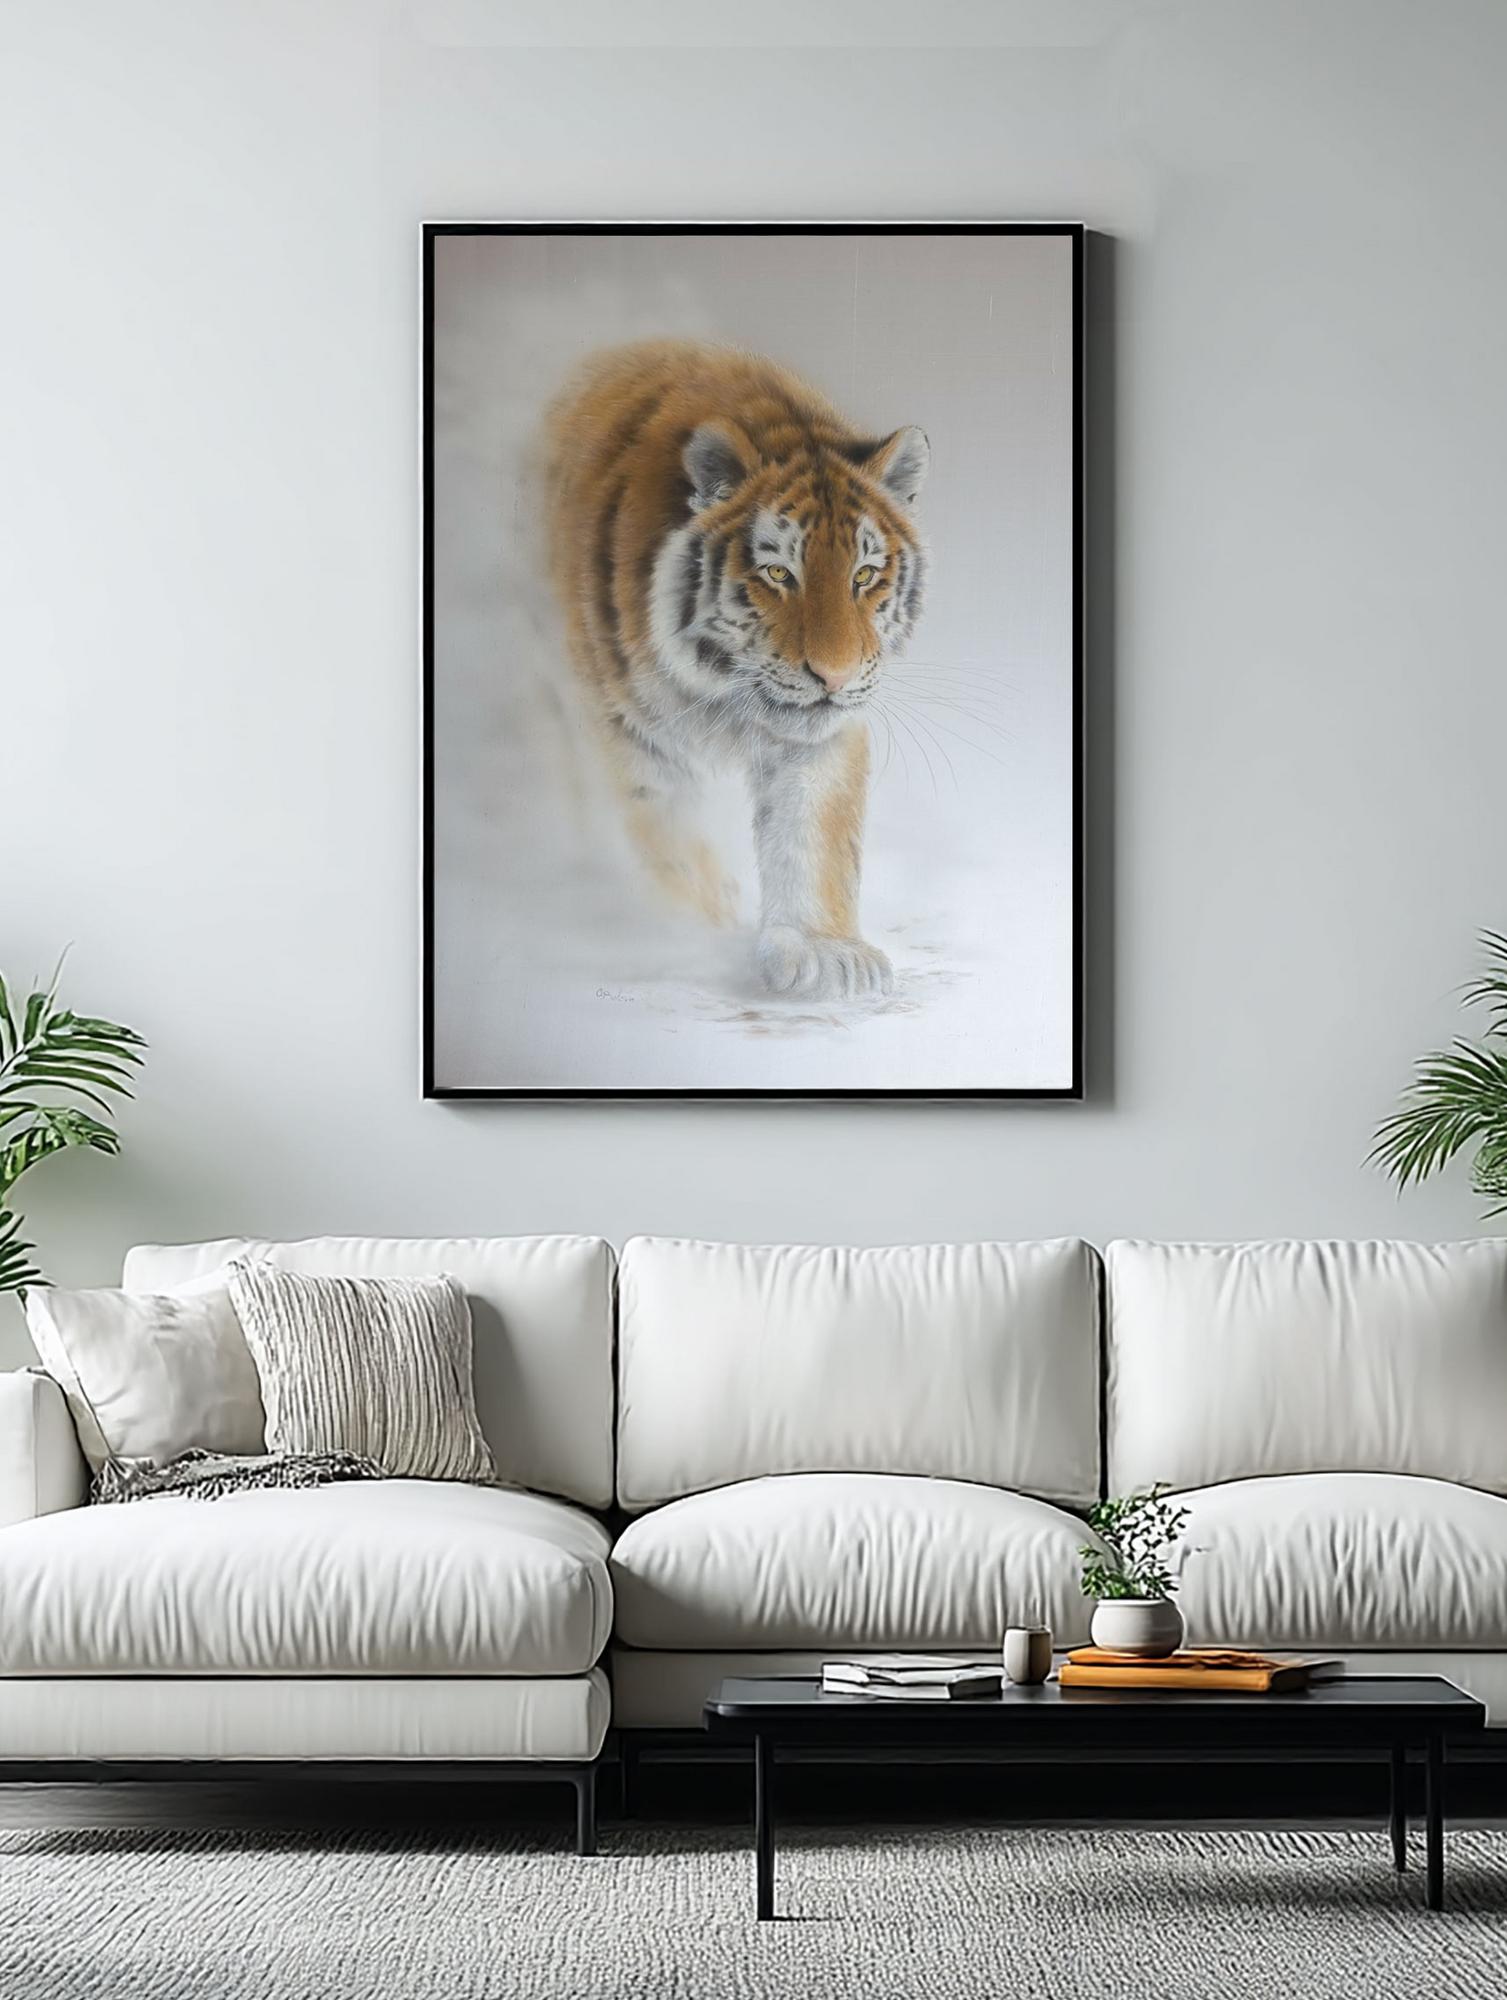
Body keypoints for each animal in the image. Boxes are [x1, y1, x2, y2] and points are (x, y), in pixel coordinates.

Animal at [543, 338, 929, 1000]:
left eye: (864, 575)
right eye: (778, 573)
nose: (834, 677)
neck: (719, 692)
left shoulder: (819, 742)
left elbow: (814, 833)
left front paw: (824, 952)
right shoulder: (627, 739)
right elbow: (670, 849)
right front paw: (698, 928)